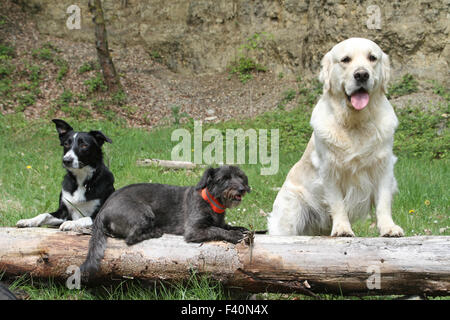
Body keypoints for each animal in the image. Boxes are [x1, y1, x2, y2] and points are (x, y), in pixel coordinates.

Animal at [80, 165, 250, 278]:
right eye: (224, 179)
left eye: (240, 177)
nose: (242, 189)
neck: (211, 202)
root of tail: (102, 211)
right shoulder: (194, 230)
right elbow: (216, 229)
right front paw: (233, 235)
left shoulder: (219, 222)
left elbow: (225, 226)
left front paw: (240, 229)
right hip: (143, 212)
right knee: (130, 238)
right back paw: (154, 232)